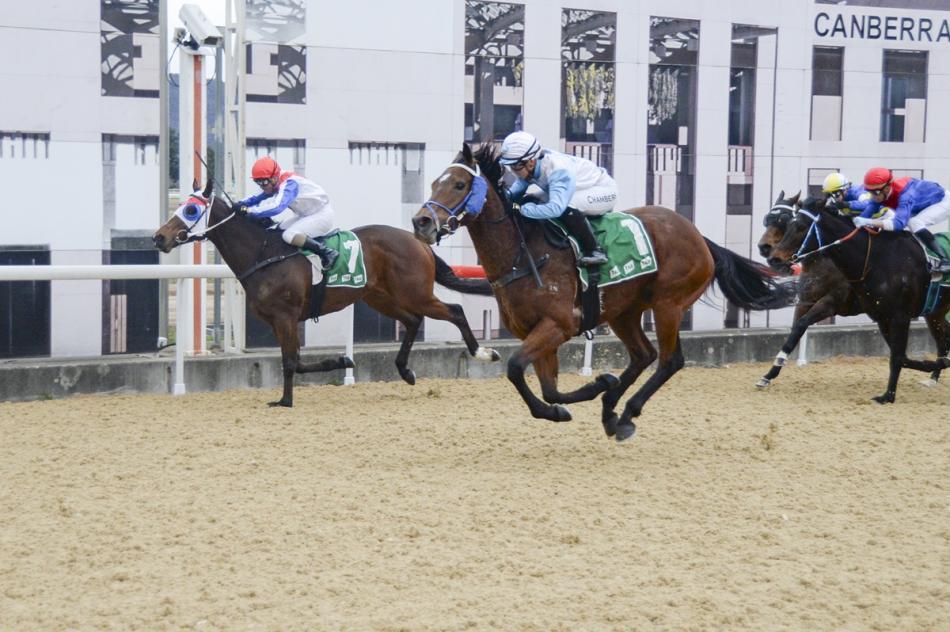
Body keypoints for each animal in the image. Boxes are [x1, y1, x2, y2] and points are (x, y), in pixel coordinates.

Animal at [152, 180, 500, 407]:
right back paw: (406, 371)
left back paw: (483, 352)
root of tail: (419, 242)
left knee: (454, 310)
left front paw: (286, 400)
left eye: (191, 209)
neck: (263, 252)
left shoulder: (285, 316)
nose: (159, 237)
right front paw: (342, 360)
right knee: (413, 321)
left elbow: (291, 361)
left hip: (415, 293)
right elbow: (295, 361)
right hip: (379, 297)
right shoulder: (278, 320)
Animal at [412, 144, 796, 441]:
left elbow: (515, 367)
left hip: (669, 304)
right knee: (643, 355)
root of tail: (698, 236)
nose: (421, 222)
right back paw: (611, 410)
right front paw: (579, 398)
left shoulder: (558, 325)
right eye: (434, 183)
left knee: (669, 360)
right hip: (625, 310)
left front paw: (585, 394)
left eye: (459, 184)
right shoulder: (536, 331)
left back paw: (626, 413)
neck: (523, 252)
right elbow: (550, 388)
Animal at [767, 195, 950, 403]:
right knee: (943, 337)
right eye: (786, 223)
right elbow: (796, 330)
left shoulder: (893, 315)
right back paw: (933, 377)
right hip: (935, 312)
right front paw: (768, 375)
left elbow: (898, 356)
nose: (773, 258)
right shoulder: (881, 317)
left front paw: (888, 396)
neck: (876, 259)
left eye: (799, 226)